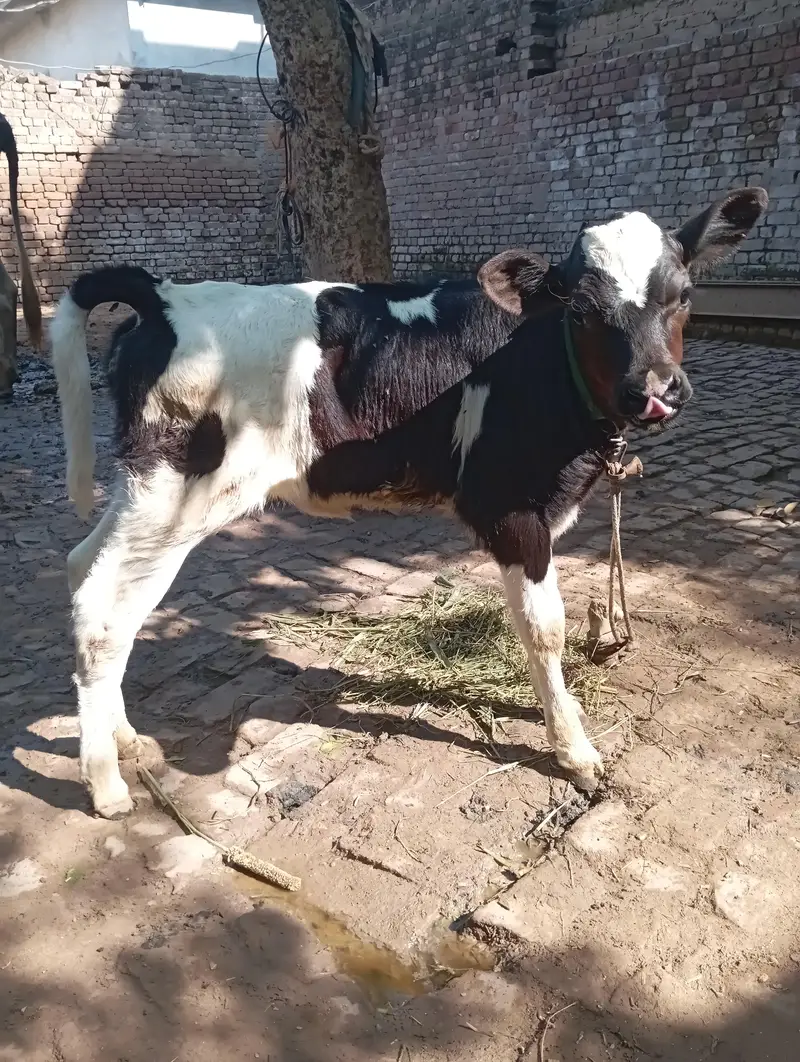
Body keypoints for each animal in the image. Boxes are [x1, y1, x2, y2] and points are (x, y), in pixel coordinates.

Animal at [50, 187, 767, 819]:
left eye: (684, 296)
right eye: (584, 311)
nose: (654, 390)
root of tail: (165, 294)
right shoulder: (510, 506)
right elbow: (545, 629)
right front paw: (574, 751)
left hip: (146, 491)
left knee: (86, 571)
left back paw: (122, 738)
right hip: (175, 498)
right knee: (105, 615)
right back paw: (105, 783)